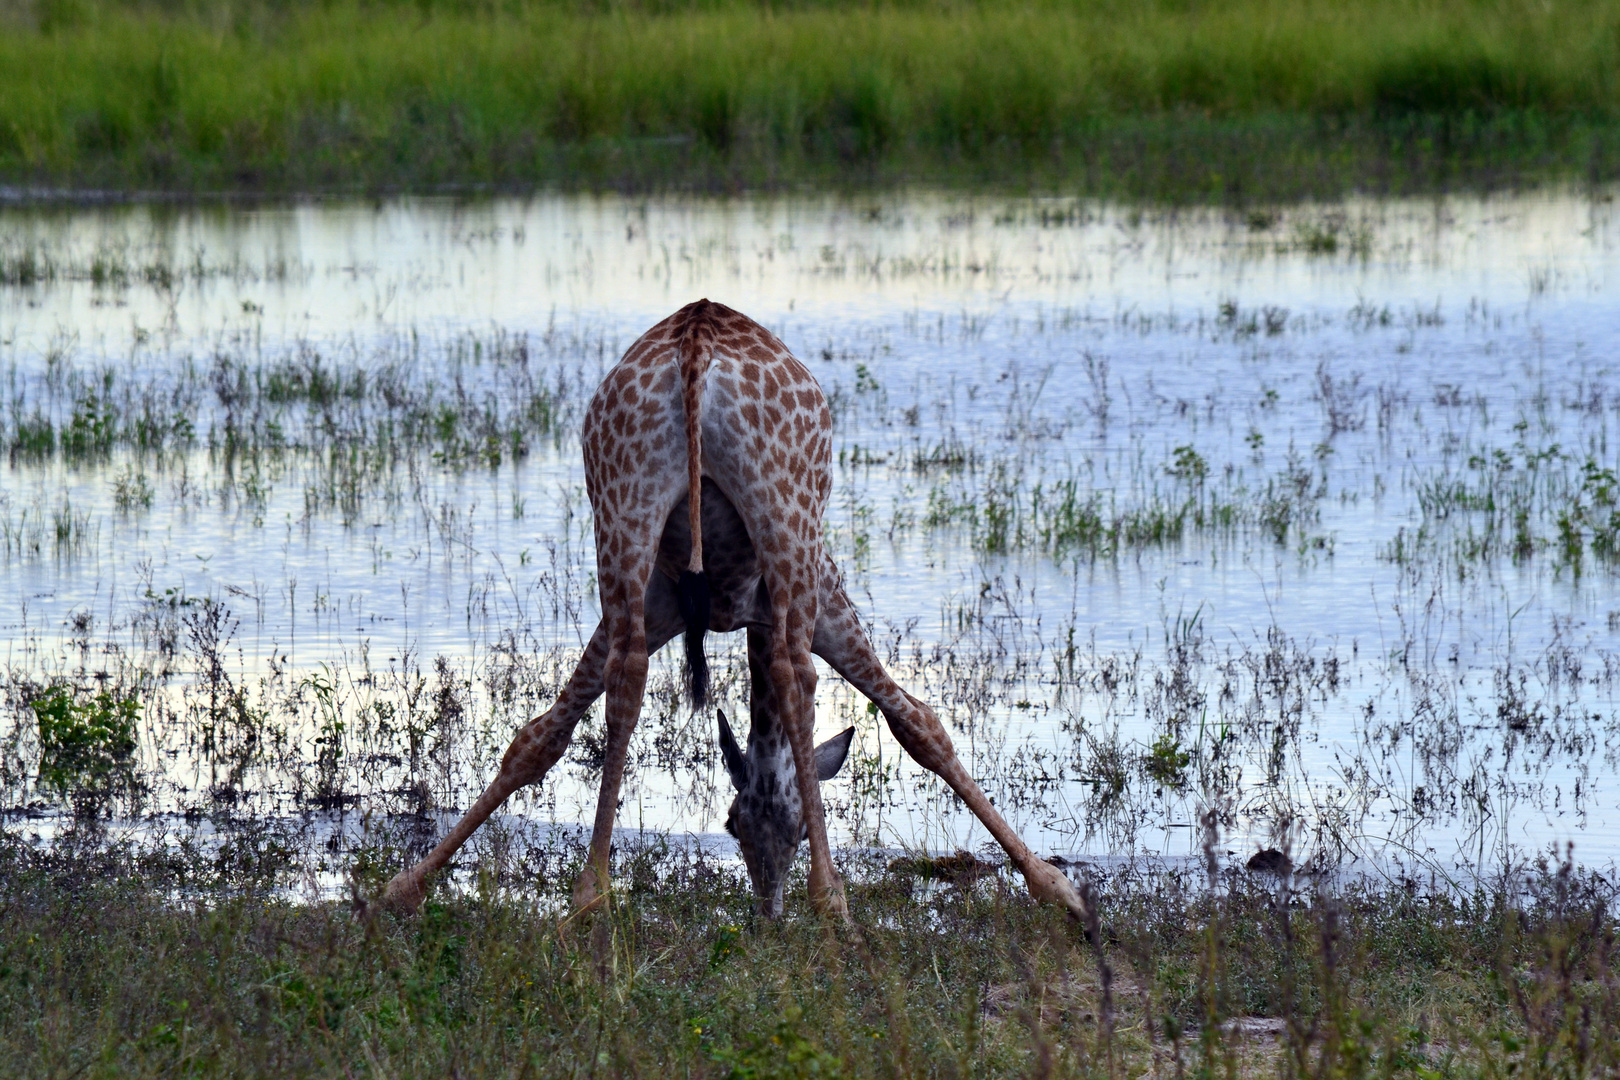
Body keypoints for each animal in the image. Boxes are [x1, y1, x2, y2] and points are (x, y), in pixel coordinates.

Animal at [375, 302, 1088, 919]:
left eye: (757, 825)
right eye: (735, 825)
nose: (767, 913)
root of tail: (697, 340)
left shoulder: (663, 605)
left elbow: (538, 737)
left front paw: (402, 888)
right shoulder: (825, 596)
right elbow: (919, 723)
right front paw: (1060, 890)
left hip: (621, 511)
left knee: (626, 676)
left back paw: (589, 897)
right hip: (785, 516)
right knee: (797, 674)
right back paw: (830, 901)